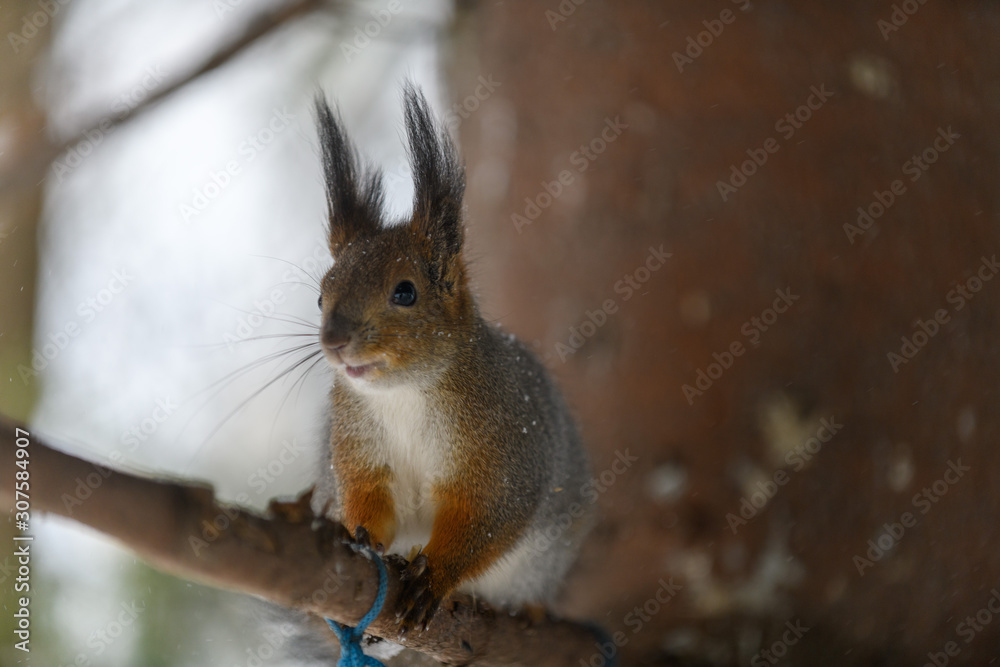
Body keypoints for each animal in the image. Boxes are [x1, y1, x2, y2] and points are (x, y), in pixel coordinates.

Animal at [309, 84, 593, 634]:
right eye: (320, 296)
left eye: (405, 292)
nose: (334, 341)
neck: (404, 395)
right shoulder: (359, 448)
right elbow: (369, 500)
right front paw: (360, 537)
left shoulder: (501, 458)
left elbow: (483, 521)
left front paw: (434, 577)